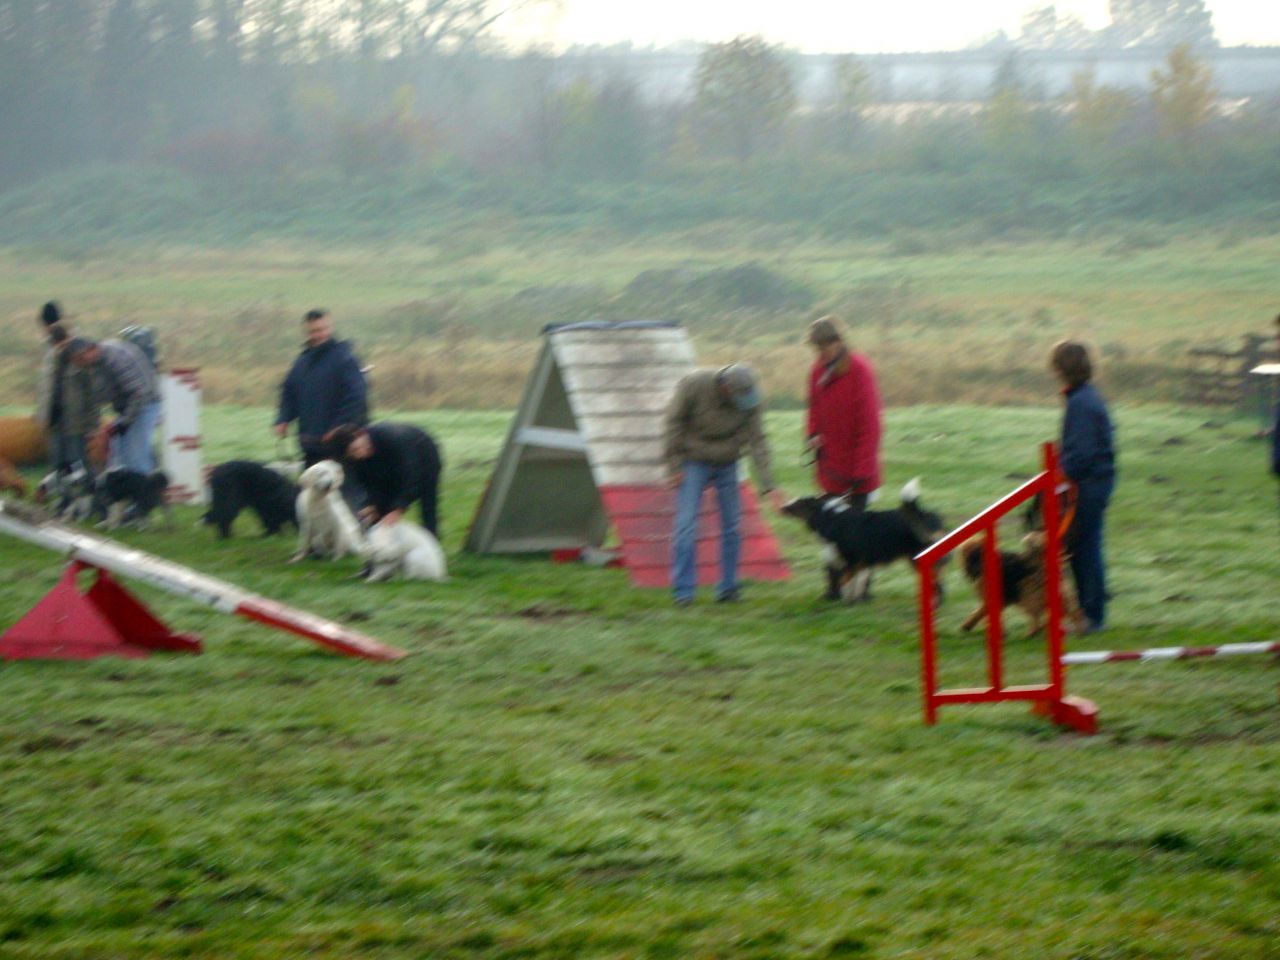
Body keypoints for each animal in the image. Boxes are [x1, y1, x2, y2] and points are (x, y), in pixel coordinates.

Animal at [782, 478, 949, 604]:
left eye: (798, 503)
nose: (782, 507)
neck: (830, 517)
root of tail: (926, 516)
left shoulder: (851, 561)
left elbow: (845, 582)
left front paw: (847, 604)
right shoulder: (862, 563)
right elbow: (858, 583)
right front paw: (856, 602)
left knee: (937, 585)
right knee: (939, 584)